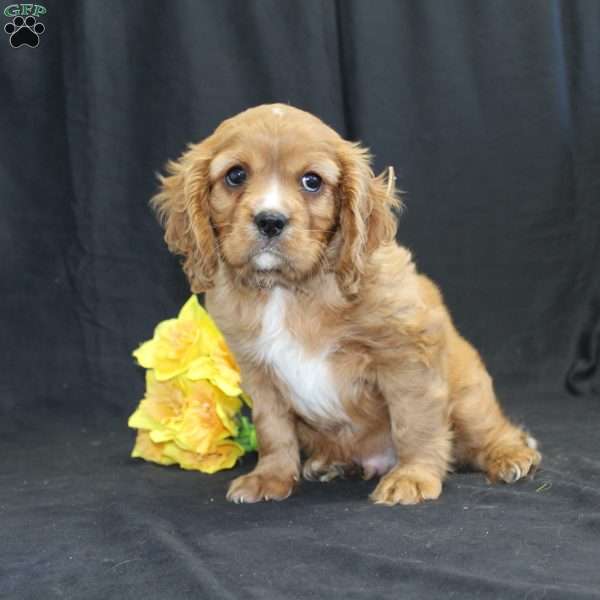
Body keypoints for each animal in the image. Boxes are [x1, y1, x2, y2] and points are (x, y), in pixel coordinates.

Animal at [152, 104, 540, 506]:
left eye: (312, 181)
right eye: (236, 175)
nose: (270, 220)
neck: (287, 290)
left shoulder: (406, 353)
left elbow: (413, 420)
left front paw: (413, 476)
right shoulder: (257, 371)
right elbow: (273, 428)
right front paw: (270, 477)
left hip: (468, 399)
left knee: (490, 432)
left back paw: (511, 456)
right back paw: (333, 464)